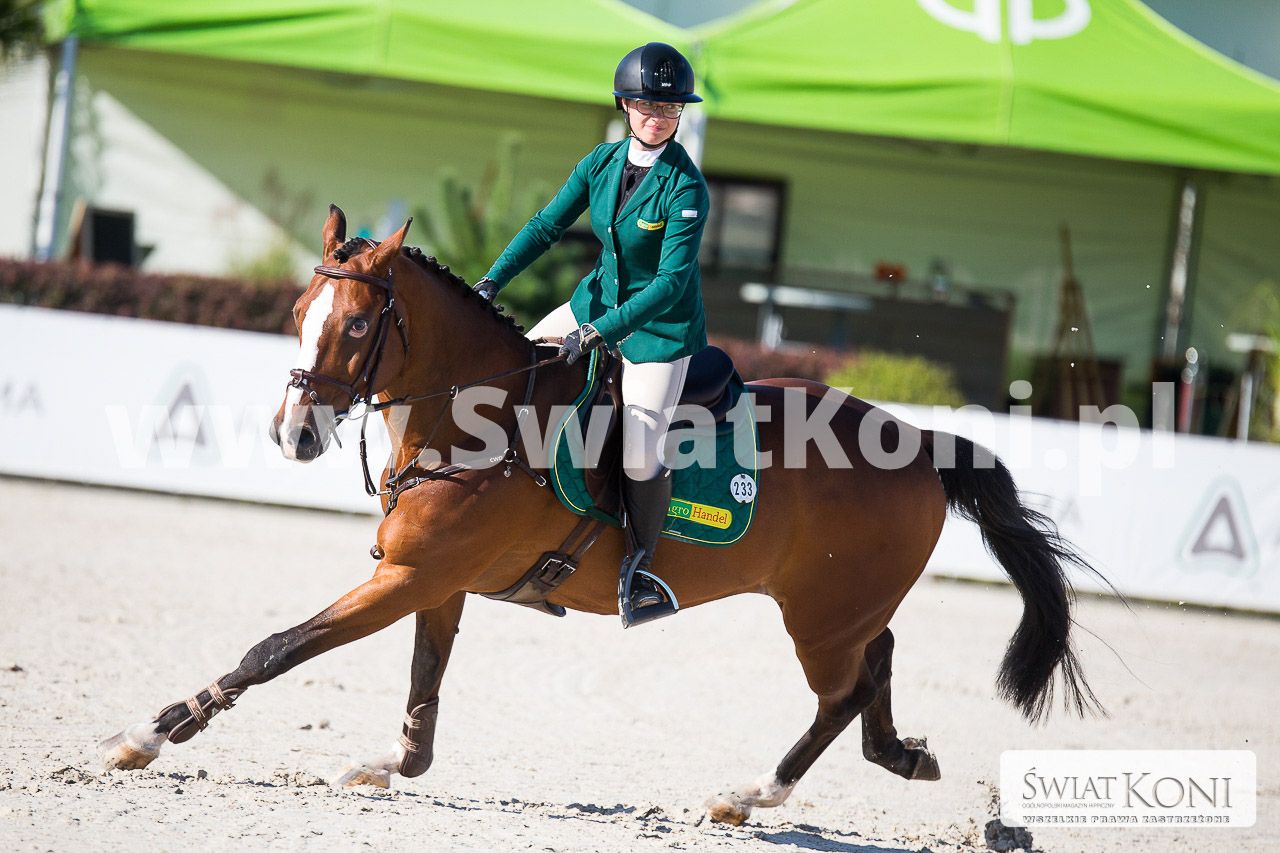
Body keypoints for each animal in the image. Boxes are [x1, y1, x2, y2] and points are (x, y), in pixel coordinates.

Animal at [100, 206, 1107, 825]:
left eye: (354, 327)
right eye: (299, 309)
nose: (295, 432)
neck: (472, 419)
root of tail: (921, 441)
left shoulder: (408, 577)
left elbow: (277, 648)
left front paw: (150, 733)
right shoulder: (430, 582)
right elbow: (423, 685)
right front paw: (392, 766)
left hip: (819, 616)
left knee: (843, 690)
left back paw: (754, 792)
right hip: (843, 605)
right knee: (878, 661)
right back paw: (897, 755)